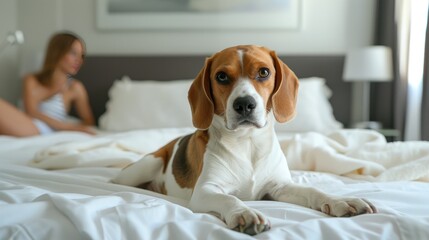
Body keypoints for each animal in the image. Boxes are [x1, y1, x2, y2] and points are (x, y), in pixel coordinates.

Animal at [113, 45, 374, 236]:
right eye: (221, 76)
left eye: (264, 72)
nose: (245, 104)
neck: (248, 143)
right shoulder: (205, 191)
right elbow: (229, 197)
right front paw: (245, 212)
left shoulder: (278, 188)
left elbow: (313, 190)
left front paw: (340, 201)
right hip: (146, 165)